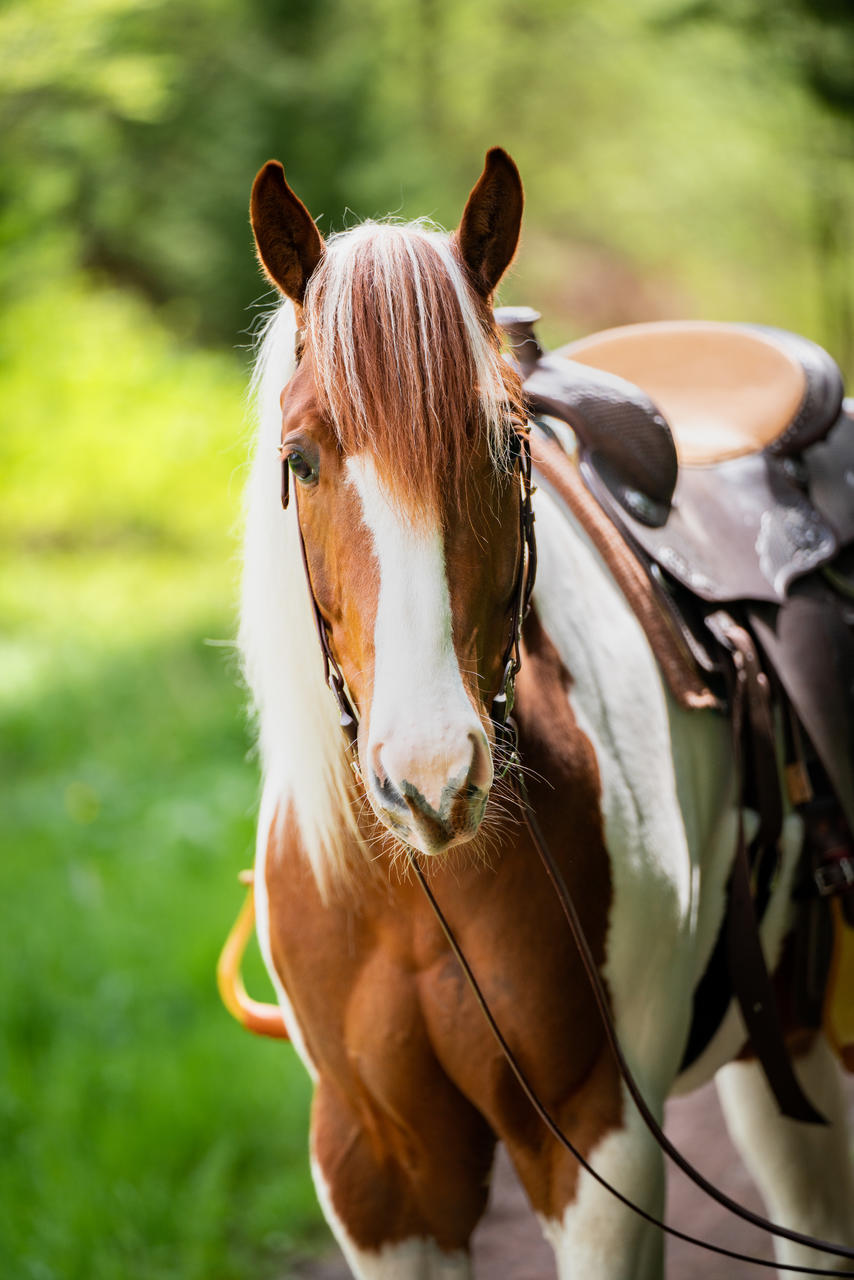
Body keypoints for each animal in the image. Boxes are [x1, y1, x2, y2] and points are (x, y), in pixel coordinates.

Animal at [236, 149, 854, 1280]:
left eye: (509, 444)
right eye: (300, 457)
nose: (430, 776)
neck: (416, 888)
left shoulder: (598, 1139)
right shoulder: (375, 1171)